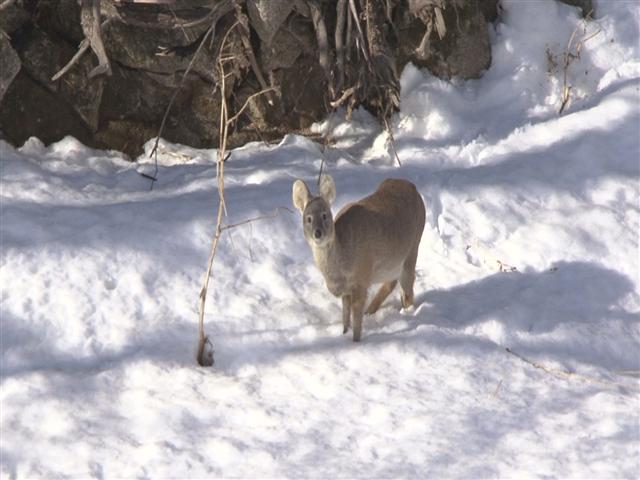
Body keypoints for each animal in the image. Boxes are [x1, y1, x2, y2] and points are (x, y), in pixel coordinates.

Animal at [294, 175, 424, 342]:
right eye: (308, 218)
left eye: (325, 215)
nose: (318, 233)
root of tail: (414, 188)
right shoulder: (346, 290)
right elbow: (345, 317)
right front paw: (344, 333)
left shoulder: (361, 279)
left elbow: (356, 319)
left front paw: (355, 341)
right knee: (392, 282)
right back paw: (370, 312)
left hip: (413, 248)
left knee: (408, 290)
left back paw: (407, 314)